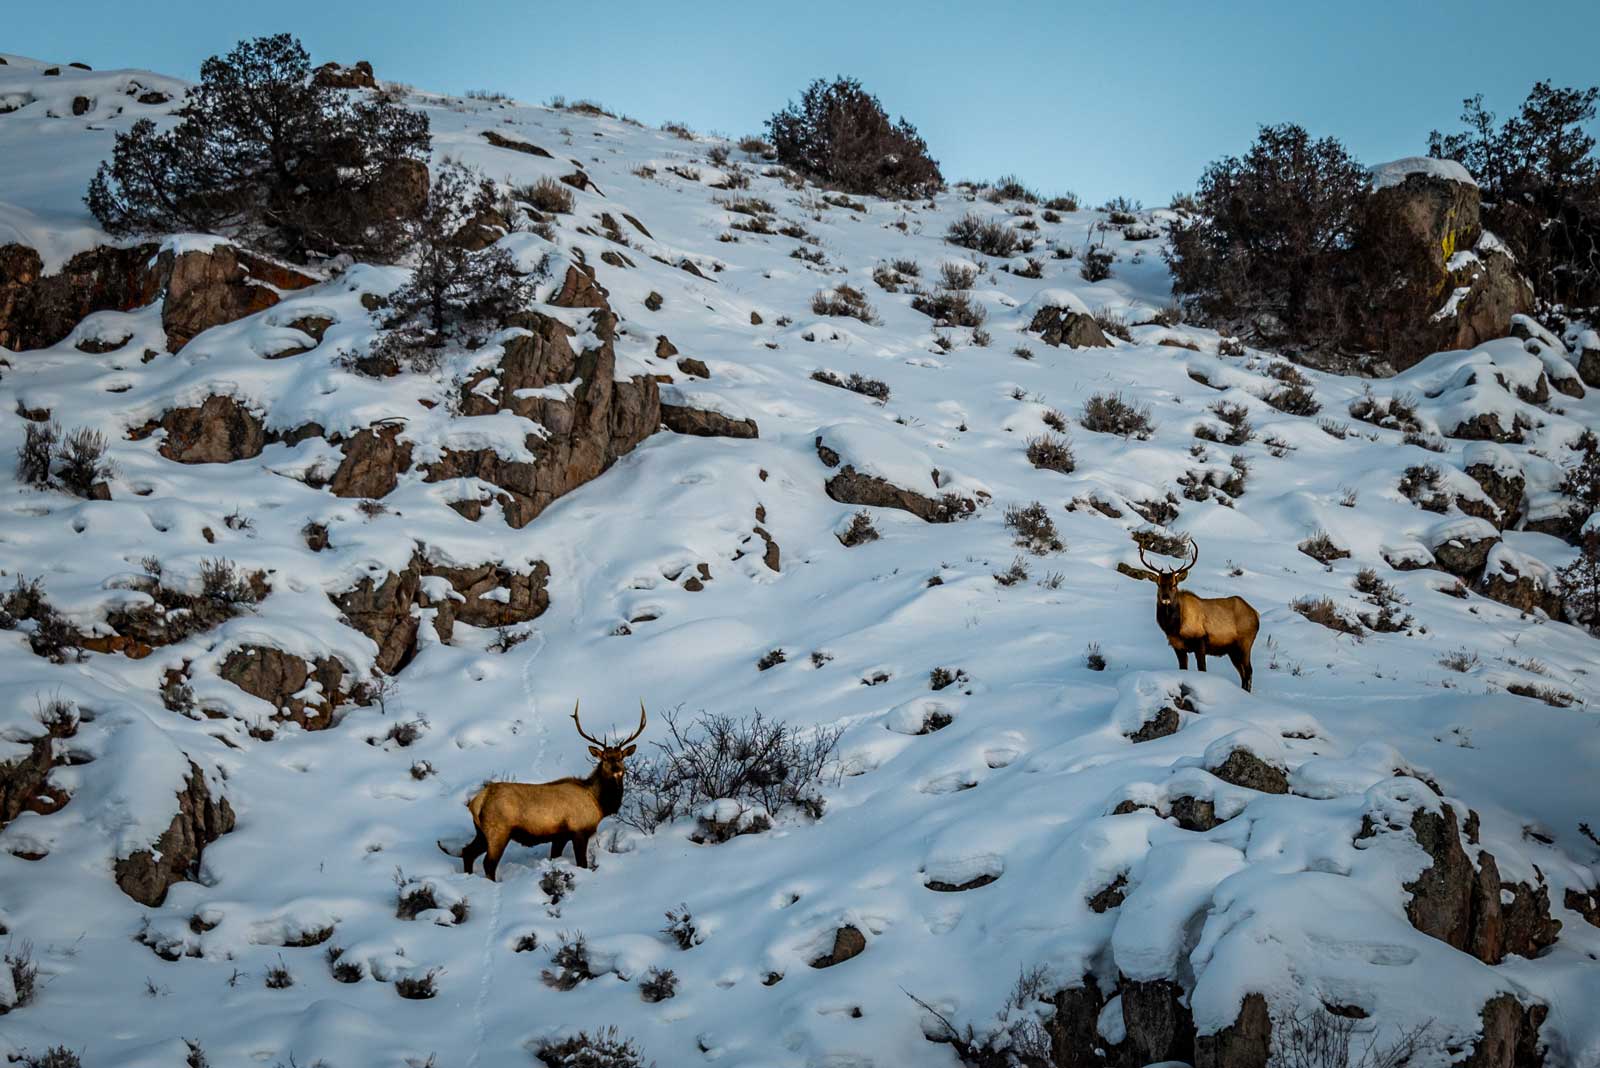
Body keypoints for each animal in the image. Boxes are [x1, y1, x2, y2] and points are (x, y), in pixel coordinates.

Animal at [453, 700, 646, 880]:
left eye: (621, 757)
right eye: (604, 758)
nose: (616, 769)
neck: (599, 803)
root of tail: (476, 802)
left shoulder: (559, 837)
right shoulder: (578, 831)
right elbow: (582, 863)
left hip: (482, 833)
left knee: (467, 852)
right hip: (498, 831)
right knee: (488, 863)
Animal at [1132, 540, 1259, 692]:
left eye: (1174, 584)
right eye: (1159, 584)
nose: (1165, 597)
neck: (1174, 627)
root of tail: (1256, 615)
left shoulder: (1200, 641)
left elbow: (1202, 669)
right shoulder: (1177, 646)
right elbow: (1183, 668)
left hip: (1245, 643)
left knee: (1249, 671)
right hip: (1232, 651)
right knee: (1243, 673)